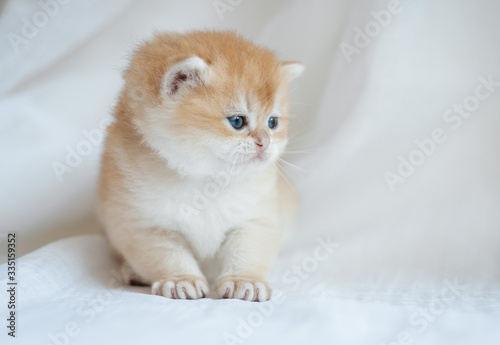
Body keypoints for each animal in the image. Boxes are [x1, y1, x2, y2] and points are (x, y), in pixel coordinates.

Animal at [96, 32, 302, 300]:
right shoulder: (142, 223)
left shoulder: (256, 219)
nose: (265, 143)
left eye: (273, 122)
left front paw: (244, 281)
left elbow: (247, 252)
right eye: (237, 121)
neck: (207, 181)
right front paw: (181, 280)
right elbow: (166, 256)